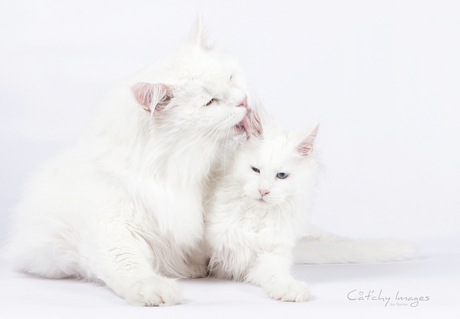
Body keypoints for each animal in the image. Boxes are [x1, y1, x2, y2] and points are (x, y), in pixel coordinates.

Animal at [7, 16, 250, 308]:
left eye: (231, 77)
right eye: (210, 102)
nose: (244, 101)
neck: (172, 170)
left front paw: (195, 267)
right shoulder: (112, 229)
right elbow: (129, 265)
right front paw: (154, 289)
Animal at [204, 103, 316, 302]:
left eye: (281, 175)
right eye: (255, 170)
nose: (263, 191)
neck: (255, 216)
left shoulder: (268, 253)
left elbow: (275, 274)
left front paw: (289, 288)